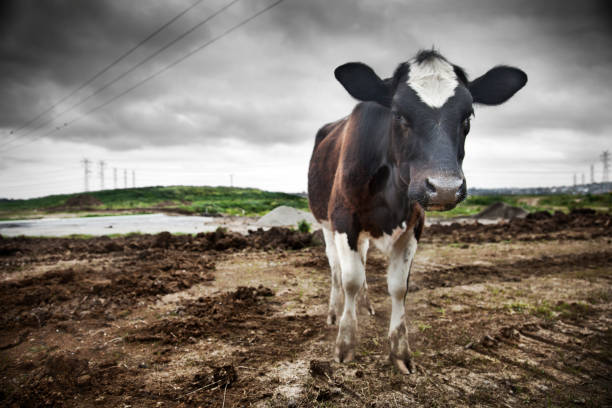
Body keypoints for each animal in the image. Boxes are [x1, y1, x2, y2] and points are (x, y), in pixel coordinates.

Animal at [308, 49, 528, 374]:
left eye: (468, 115)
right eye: (398, 113)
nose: (445, 187)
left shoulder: (414, 225)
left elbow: (399, 286)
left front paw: (400, 352)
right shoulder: (344, 220)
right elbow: (350, 279)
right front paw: (345, 345)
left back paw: (367, 306)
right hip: (325, 223)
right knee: (336, 268)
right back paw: (334, 313)